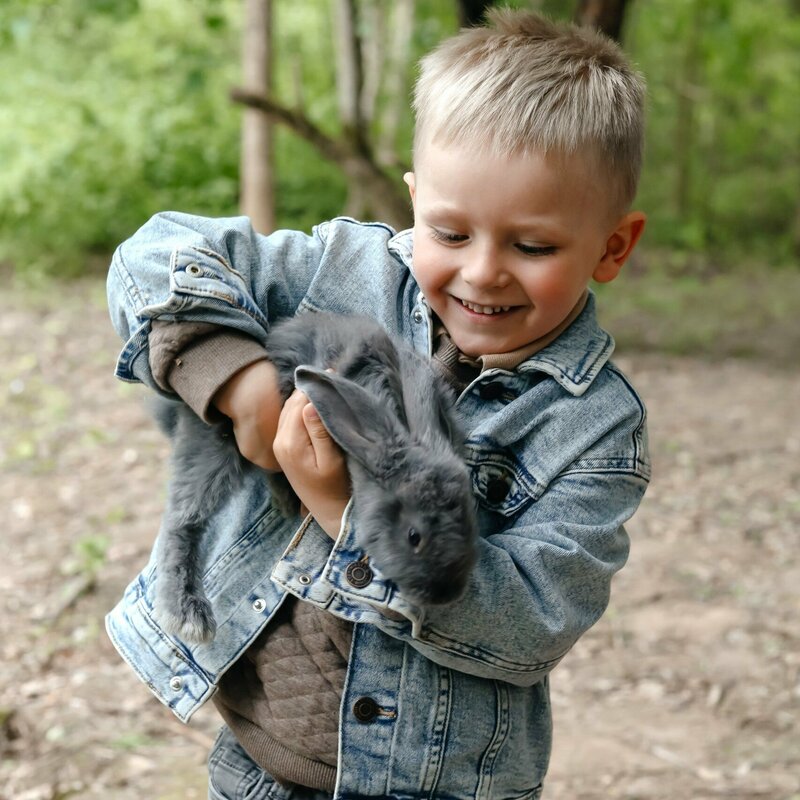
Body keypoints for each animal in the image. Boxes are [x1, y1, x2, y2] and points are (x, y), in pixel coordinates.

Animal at [152, 312, 476, 644]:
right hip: (214, 447)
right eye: (414, 536)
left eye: (471, 524)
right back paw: (188, 615)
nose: (446, 595)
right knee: (184, 519)